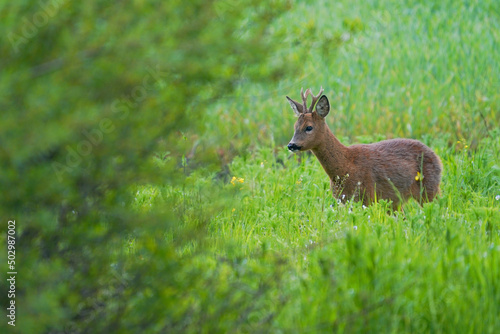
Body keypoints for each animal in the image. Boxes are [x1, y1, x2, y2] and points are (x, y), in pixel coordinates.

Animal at [286, 87, 442, 210]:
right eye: (294, 126)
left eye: (309, 127)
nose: (291, 145)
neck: (345, 166)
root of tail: (438, 159)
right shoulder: (344, 200)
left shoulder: (367, 196)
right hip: (396, 202)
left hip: (429, 188)